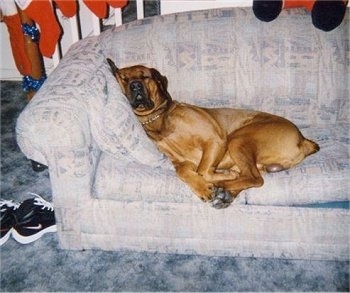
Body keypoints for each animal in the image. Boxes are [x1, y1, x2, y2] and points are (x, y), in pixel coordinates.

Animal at [107, 58, 320, 206]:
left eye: (145, 76)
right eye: (124, 78)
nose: (135, 85)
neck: (159, 118)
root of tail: (303, 140)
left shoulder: (215, 140)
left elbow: (203, 170)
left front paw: (213, 182)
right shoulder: (182, 162)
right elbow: (183, 172)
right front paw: (202, 187)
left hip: (239, 139)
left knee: (254, 178)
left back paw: (224, 185)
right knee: (249, 176)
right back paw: (225, 193)